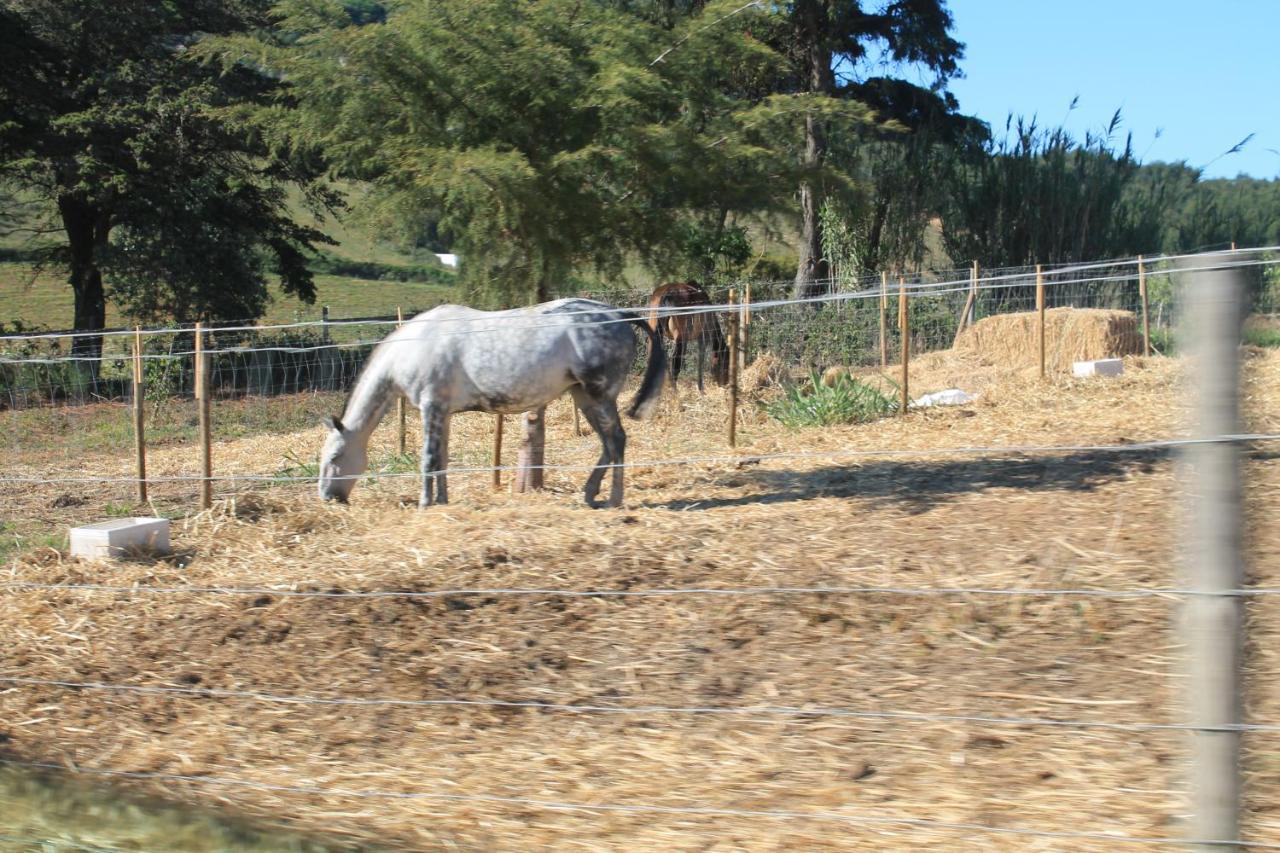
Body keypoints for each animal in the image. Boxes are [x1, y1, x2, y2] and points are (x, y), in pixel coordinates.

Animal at [316, 297, 665, 504]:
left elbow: (428, 459)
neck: (415, 345)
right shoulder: (443, 413)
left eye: (335, 457)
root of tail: (618, 314)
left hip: (599, 395)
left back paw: (613, 499)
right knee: (608, 443)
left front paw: (425, 504)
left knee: (616, 440)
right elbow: (441, 459)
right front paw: (442, 502)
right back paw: (590, 495)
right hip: (584, 397)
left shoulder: (431, 408)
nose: (328, 497)